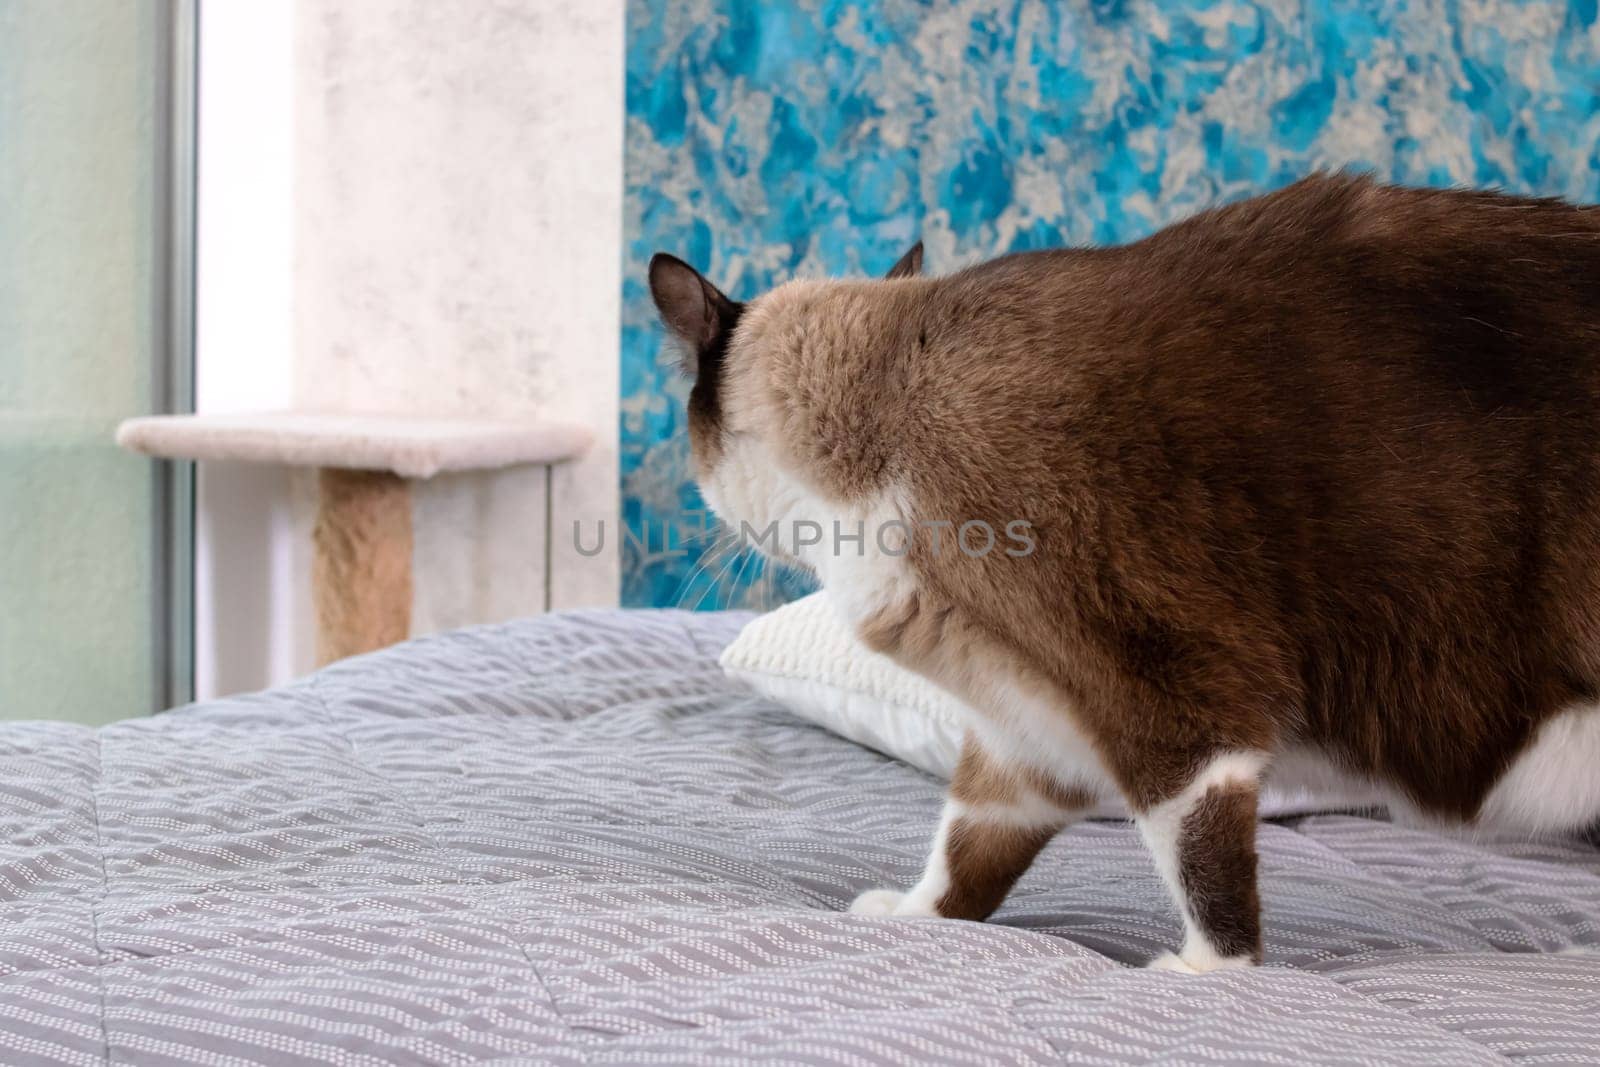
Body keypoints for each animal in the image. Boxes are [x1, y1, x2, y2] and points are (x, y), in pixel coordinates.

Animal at [643, 175, 1600, 979]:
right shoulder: (1024, 729)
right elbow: (963, 849)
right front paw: (912, 916)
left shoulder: (1177, 704)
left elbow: (1206, 878)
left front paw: (1202, 978)